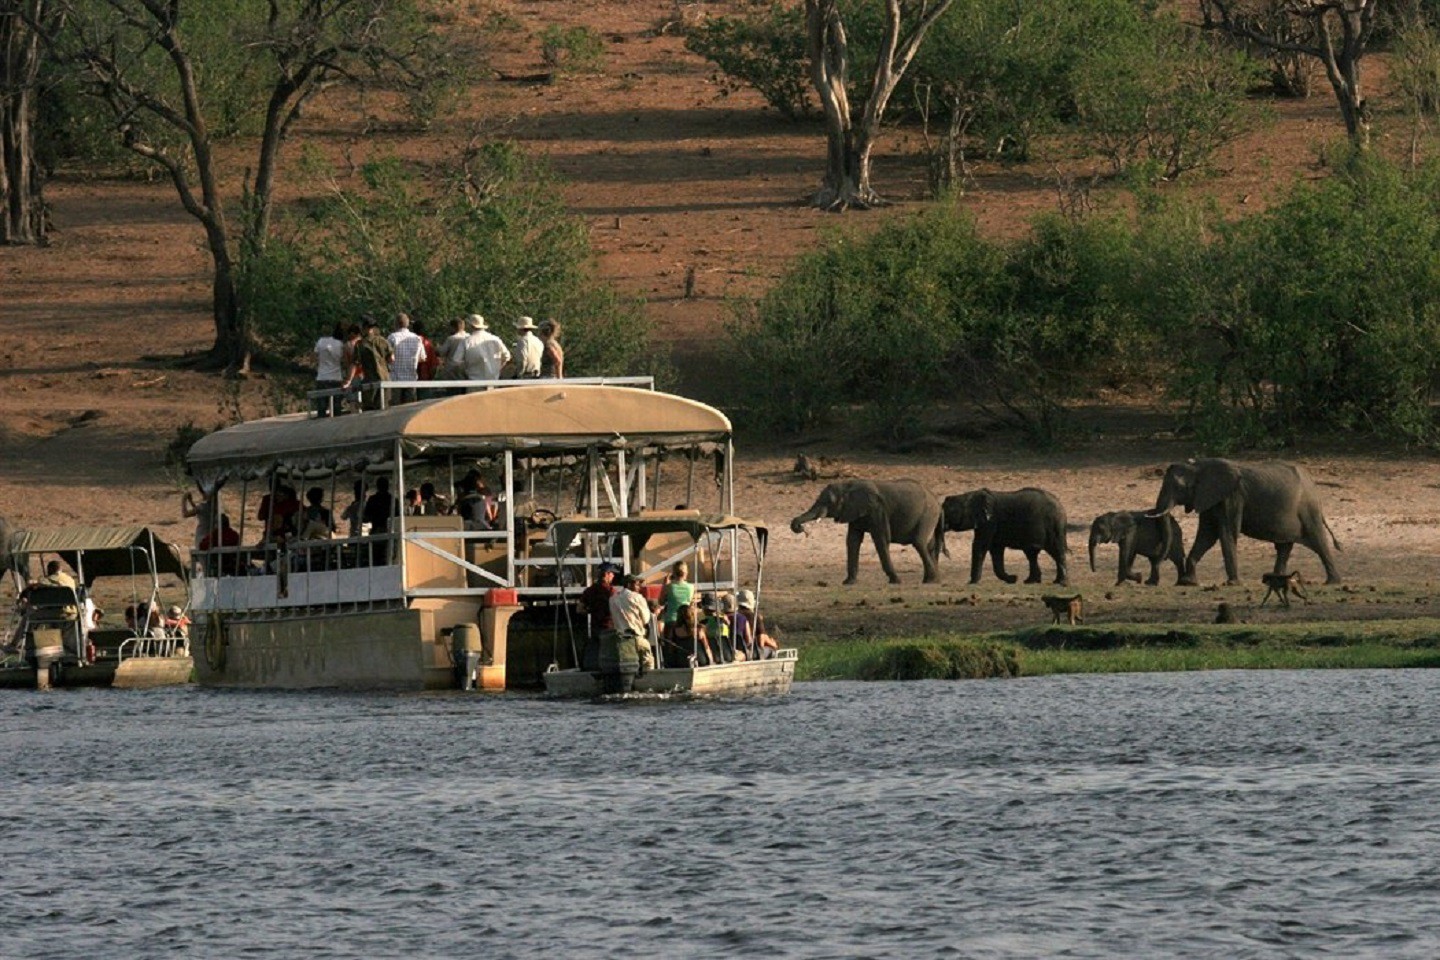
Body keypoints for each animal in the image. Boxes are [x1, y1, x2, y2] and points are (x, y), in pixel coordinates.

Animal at [789, 480, 944, 587]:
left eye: (830, 501)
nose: (802, 529)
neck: (848, 485)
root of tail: (938, 502)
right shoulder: (854, 513)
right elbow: (852, 541)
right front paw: (848, 582)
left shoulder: (878, 511)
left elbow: (881, 540)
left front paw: (896, 581)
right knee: (929, 546)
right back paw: (932, 580)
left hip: (927, 515)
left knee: (919, 543)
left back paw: (930, 581)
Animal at [1146, 457, 1336, 587]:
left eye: (1178, 487)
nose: (1150, 581)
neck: (1199, 465)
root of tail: (1313, 484)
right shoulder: (1209, 498)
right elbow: (1206, 535)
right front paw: (1189, 582)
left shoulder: (1232, 498)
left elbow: (1226, 533)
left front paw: (1232, 583)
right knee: (1284, 547)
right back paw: (1275, 581)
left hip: (1308, 510)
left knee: (1318, 541)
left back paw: (1333, 582)